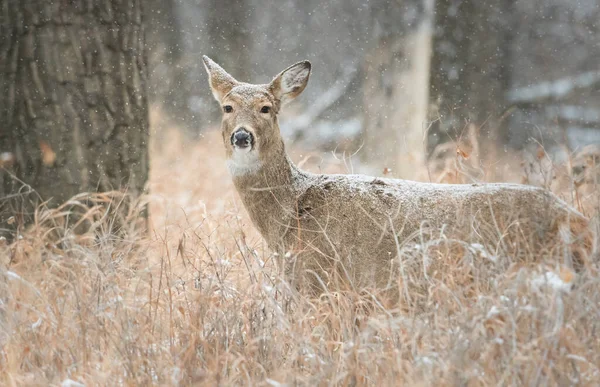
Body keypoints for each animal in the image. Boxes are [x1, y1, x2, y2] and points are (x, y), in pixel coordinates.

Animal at [200, 55, 592, 298]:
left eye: (267, 108)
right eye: (227, 107)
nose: (242, 137)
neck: (292, 213)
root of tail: (577, 221)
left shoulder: (322, 279)